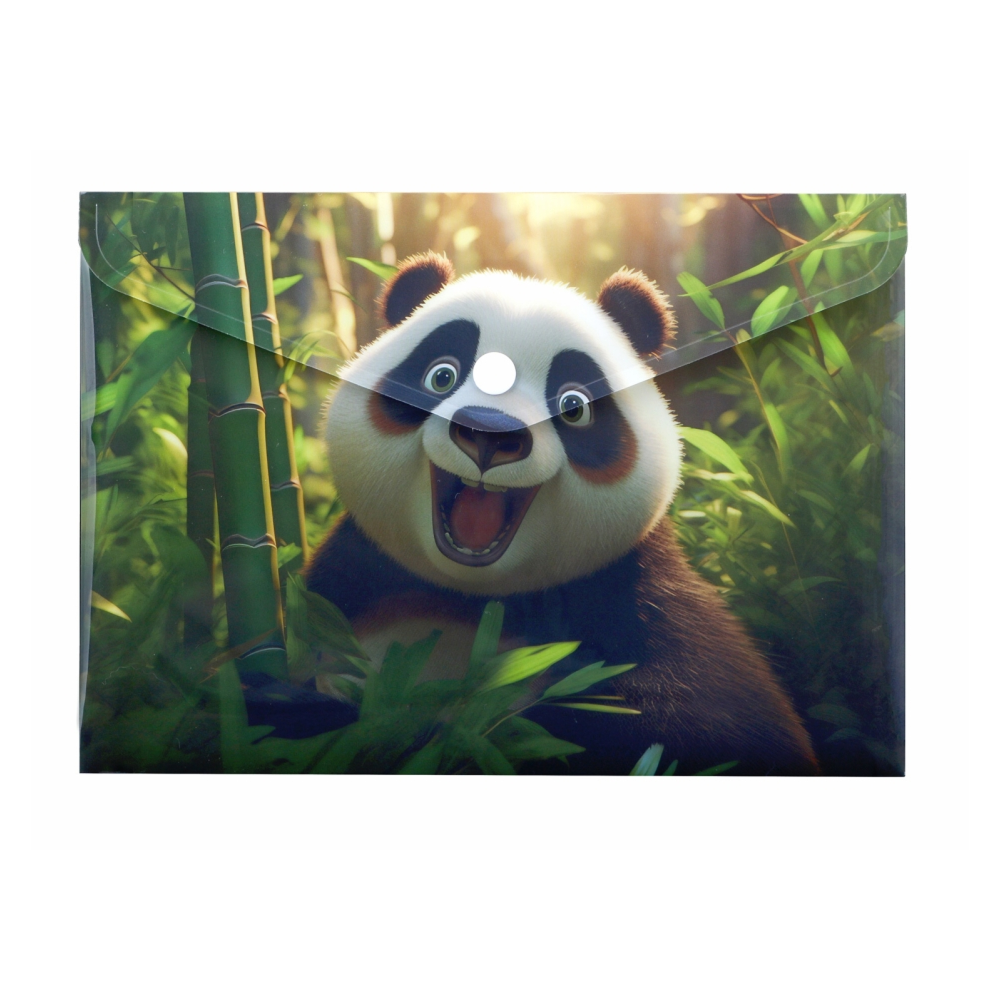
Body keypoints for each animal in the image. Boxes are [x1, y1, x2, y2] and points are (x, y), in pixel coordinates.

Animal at [304, 252, 819, 775]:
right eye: (441, 376)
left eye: (574, 405)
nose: (489, 432)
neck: (479, 598)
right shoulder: (347, 587)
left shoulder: (637, 597)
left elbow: (700, 720)